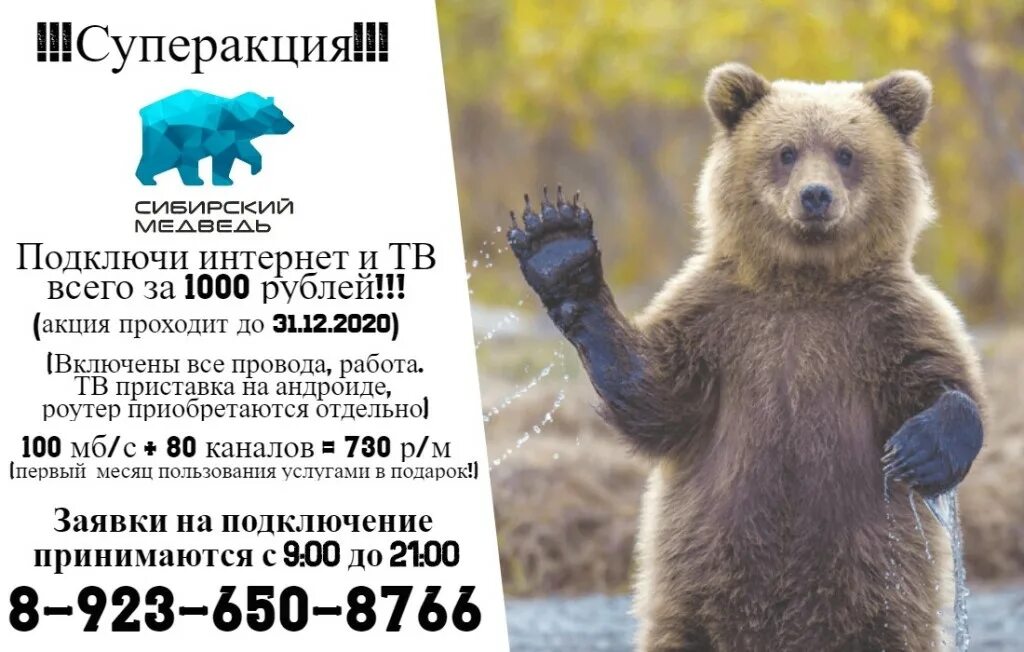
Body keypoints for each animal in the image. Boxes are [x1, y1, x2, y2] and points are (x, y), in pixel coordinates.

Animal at [135, 90, 293, 186]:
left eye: (281, 112)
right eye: (274, 117)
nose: (291, 125)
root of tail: (144, 112)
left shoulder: (236, 138)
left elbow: (247, 152)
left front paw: (255, 169)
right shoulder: (220, 134)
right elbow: (223, 157)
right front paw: (225, 181)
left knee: (183, 161)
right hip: (166, 136)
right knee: (164, 158)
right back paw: (149, 180)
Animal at [507, 63, 985, 651]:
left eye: (846, 152)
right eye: (786, 151)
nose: (816, 196)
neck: (804, 281)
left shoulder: (885, 320)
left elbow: (943, 378)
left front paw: (919, 450)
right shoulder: (720, 320)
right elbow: (657, 395)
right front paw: (558, 247)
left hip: (882, 598)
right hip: (692, 593)